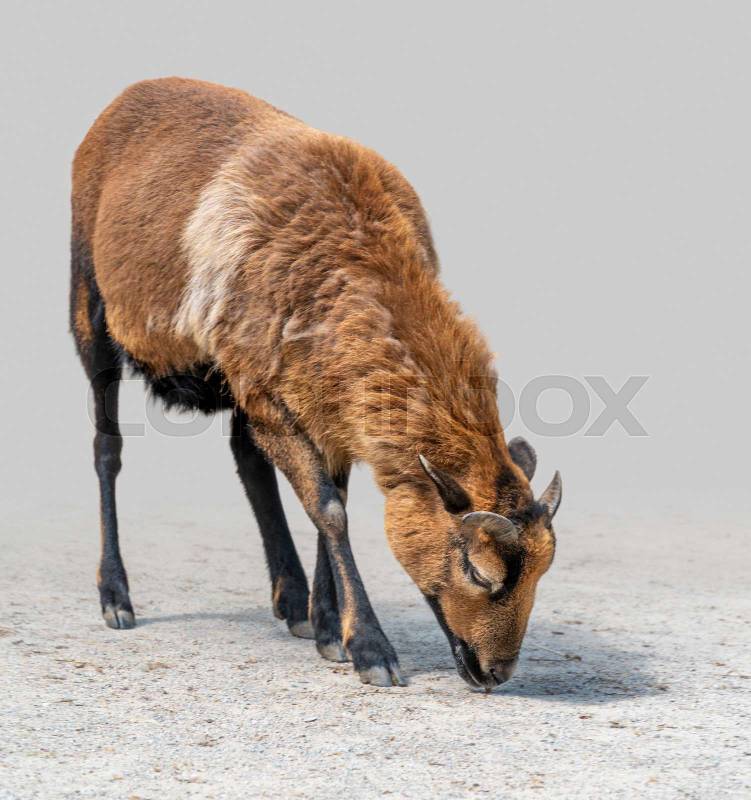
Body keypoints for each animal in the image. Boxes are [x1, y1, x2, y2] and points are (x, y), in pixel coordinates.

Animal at [70, 78, 562, 690]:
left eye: (543, 570)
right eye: (477, 568)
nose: (496, 673)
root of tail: (132, 91)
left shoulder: (329, 403)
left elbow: (331, 496)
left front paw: (329, 627)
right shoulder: (271, 394)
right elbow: (330, 510)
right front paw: (370, 650)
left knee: (247, 459)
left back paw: (292, 600)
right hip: (91, 308)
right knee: (106, 448)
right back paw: (116, 598)